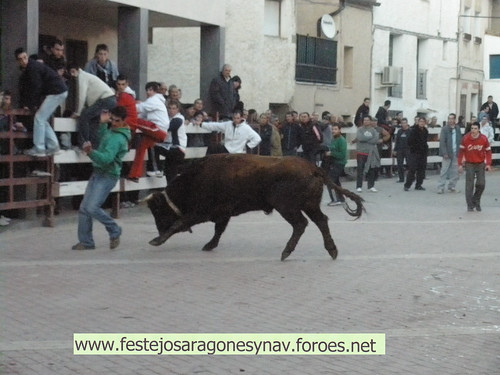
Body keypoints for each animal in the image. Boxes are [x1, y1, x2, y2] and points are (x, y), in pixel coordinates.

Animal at [145, 153, 364, 262]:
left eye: (158, 211)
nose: (159, 229)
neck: (195, 178)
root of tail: (313, 168)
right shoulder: (222, 213)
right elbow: (218, 230)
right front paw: (209, 245)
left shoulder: (203, 211)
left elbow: (181, 223)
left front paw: (156, 240)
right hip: (309, 206)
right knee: (320, 221)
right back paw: (332, 250)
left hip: (287, 207)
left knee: (301, 224)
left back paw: (286, 252)